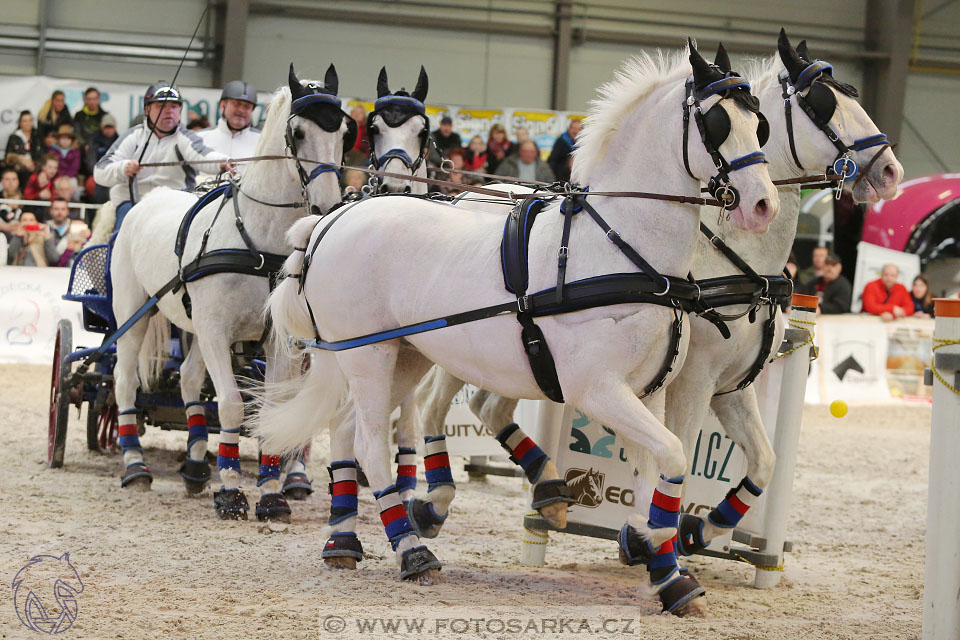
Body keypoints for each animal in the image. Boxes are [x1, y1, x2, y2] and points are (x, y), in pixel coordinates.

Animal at [109, 66, 348, 524]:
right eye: (298, 132)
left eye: (345, 130)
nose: (328, 206)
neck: (257, 239)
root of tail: (148, 198)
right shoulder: (217, 332)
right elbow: (233, 406)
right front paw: (232, 492)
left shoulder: (274, 339)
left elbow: (271, 410)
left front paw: (271, 495)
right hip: (135, 314)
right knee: (124, 381)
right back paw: (134, 467)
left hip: (197, 328)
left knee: (187, 378)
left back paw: (197, 465)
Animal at [256, 42, 780, 612]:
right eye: (716, 122)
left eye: (759, 122)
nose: (763, 205)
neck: (623, 249)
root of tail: (330, 222)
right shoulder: (598, 390)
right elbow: (674, 456)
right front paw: (656, 539)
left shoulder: (649, 393)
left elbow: (660, 468)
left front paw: (668, 573)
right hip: (366, 356)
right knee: (372, 443)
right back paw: (412, 551)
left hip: (404, 354)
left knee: (350, 428)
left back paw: (356, 541)